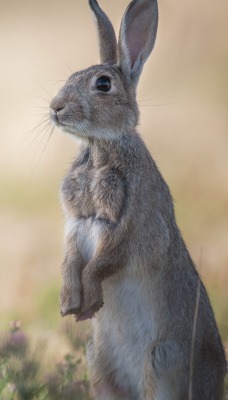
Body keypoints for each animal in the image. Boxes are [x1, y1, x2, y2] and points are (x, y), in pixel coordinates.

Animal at [49, 0, 226, 398]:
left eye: (103, 84)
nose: (55, 107)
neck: (100, 147)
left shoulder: (127, 225)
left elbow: (103, 261)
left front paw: (90, 300)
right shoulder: (76, 224)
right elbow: (70, 259)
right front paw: (69, 304)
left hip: (162, 362)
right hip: (99, 362)